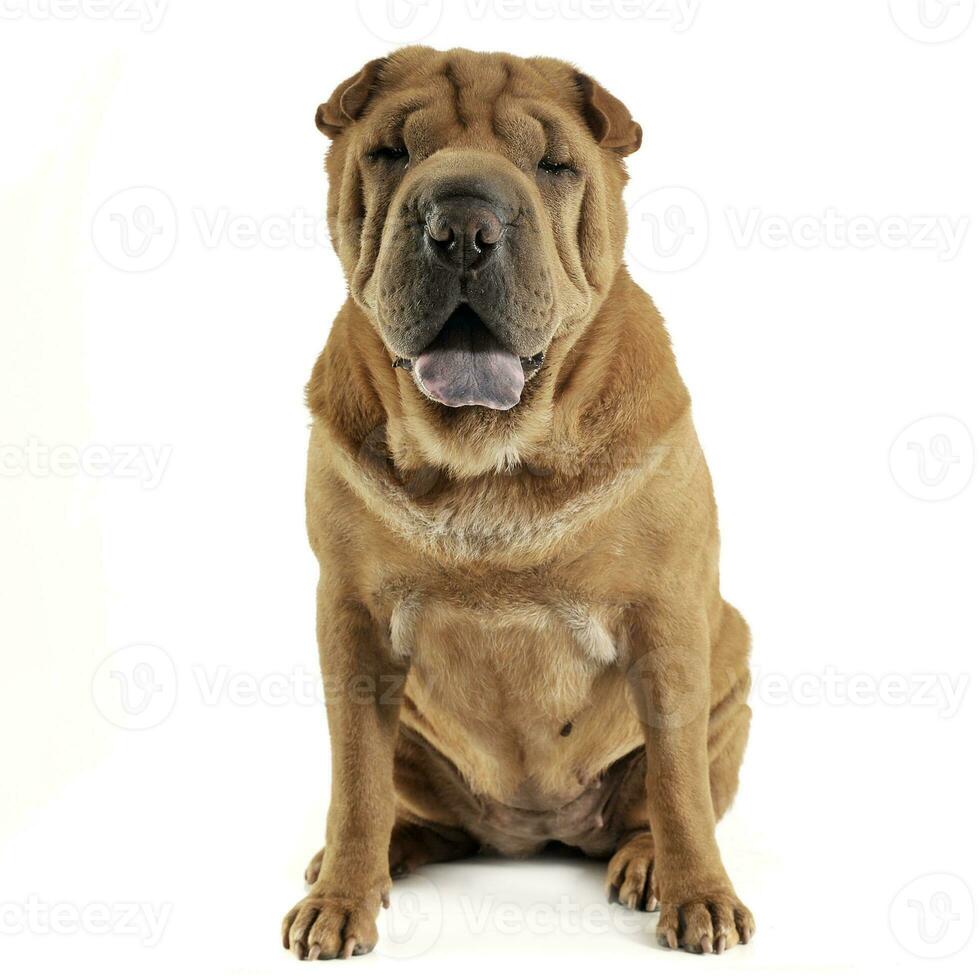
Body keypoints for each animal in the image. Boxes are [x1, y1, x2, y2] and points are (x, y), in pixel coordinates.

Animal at [284, 46, 756, 956]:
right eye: (391, 152)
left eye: (553, 165)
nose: (463, 224)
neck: (483, 460)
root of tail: (530, 835)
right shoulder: (352, 624)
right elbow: (355, 782)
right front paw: (341, 897)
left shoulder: (667, 621)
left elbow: (679, 786)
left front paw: (701, 898)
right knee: (405, 809)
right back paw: (370, 857)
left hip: (732, 676)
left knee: (662, 801)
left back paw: (647, 863)